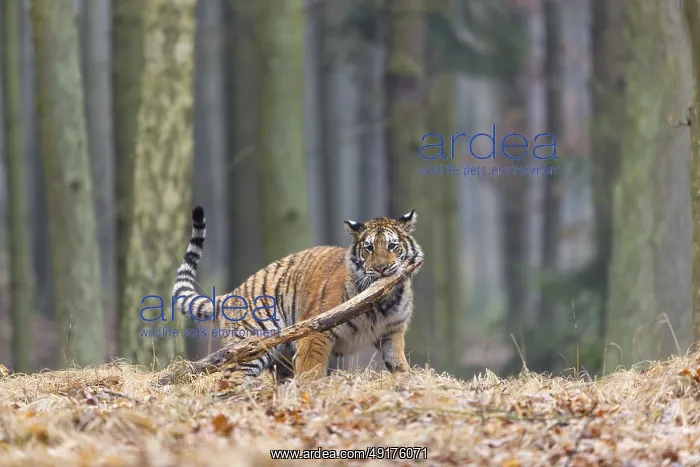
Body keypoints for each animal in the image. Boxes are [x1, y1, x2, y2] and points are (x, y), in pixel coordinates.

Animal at [171, 206, 424, 385]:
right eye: (369, 248)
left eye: (392, 246)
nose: (381, 269)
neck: (384, 300)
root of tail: (231, 294)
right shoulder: (316, 331)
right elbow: (311, 366)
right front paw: (310, 390)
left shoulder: (391, 332)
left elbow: (397, 362)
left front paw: (407, 380)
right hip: (251, 346)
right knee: (228, 382)